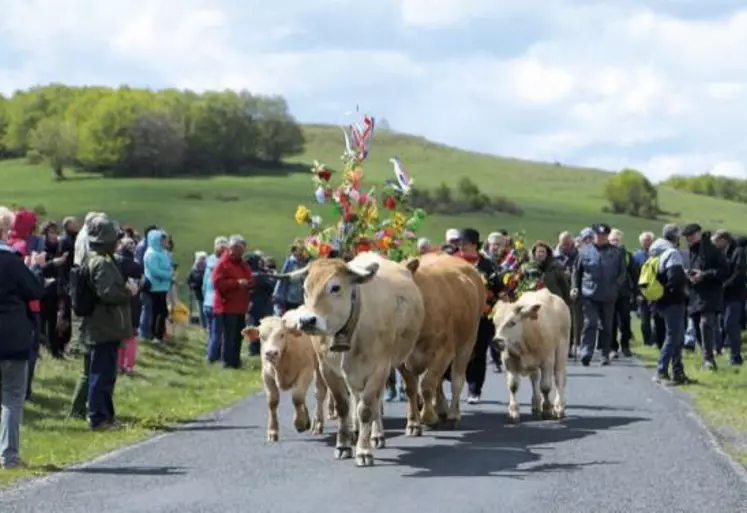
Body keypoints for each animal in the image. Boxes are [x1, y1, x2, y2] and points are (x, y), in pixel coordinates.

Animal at [276, 254, 426, 466]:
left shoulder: (378, 368)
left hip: (403, 360)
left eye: (335, 287)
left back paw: (406, 427)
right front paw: (343, 446)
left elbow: (366, 409)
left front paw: (363, 451)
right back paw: (369, 433)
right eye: (305, 288)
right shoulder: (328, 370)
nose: (307, 321)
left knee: (406, 390)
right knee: (361, 398)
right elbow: (343, 407)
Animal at [404, 252, 486, 432]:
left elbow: (427, 385)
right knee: (439, 381)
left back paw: (452, 415)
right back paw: (441, 409)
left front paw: (428, 417)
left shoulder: (444, 350)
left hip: (467, 342)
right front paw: (413, 422)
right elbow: (411, 388)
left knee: (456, 380)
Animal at [494, 288, 568, 420]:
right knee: (535, 379)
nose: (497, 341)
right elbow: (513, 386)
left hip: (561, 349)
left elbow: (545, 386)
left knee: (559, 377)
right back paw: (536, 405)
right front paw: (514, 411)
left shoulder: (547, 361)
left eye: (512, 322)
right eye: (494, 323)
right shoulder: (509, 361)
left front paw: (547, 408)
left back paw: (559, 407)